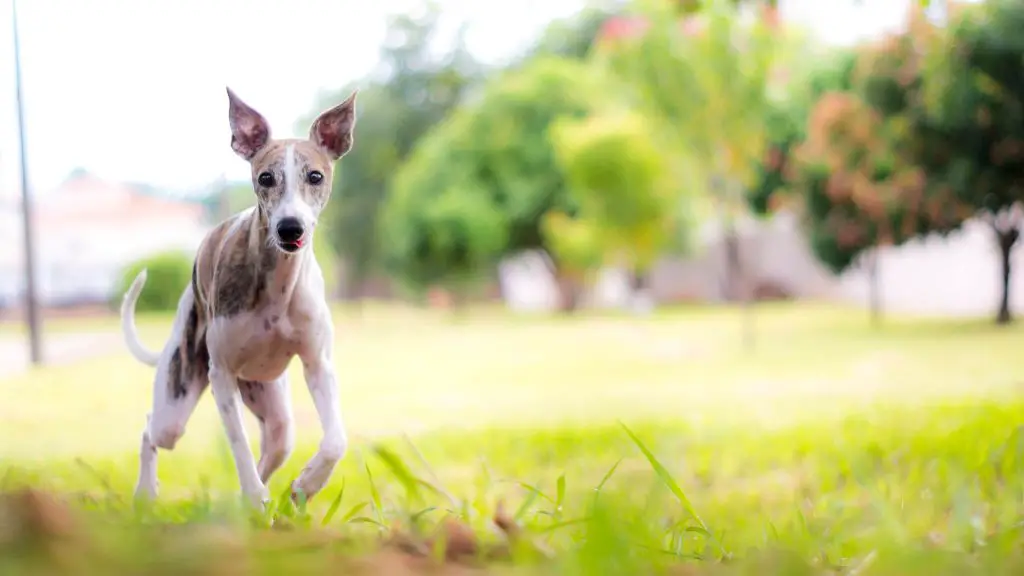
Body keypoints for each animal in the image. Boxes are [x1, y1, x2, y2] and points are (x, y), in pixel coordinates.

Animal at [119, 87, 358, 504]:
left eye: (315, 176)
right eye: (265, 177)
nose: (289, 228)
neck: (279, 285)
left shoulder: (318, 364)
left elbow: (335, 441)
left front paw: (307, 484)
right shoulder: (222, 376)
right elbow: (239, 446)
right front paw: (258, 495)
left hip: (275, 414)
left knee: (275, 446)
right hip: (177, 400)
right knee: (152, 429)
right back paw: (147, 491)